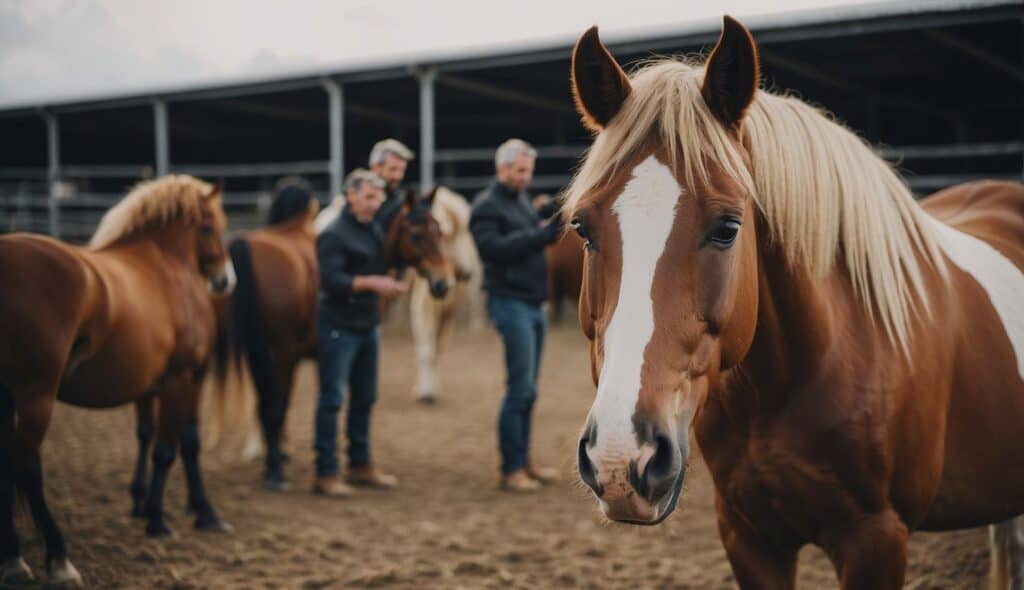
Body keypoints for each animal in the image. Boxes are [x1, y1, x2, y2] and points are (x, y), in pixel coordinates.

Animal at [0, 176, 234, 590]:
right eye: (210, 227)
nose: (225, 279)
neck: (166, 263)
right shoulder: (182, 379)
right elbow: (169, 450)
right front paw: (158, 519)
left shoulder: (162, 382)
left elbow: (180, 443)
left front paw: (199, 512)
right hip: (35, 394)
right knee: (26, 465)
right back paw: (58, 559)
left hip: (8, 395)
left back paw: (13, 557)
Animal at [209, 186, 454, 491]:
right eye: (417, 235)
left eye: (440, 231)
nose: (444, 283)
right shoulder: (311, 356)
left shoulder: (308, 358)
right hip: (277, 354)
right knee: (273, 407)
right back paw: (275, 471)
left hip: (257, 353)